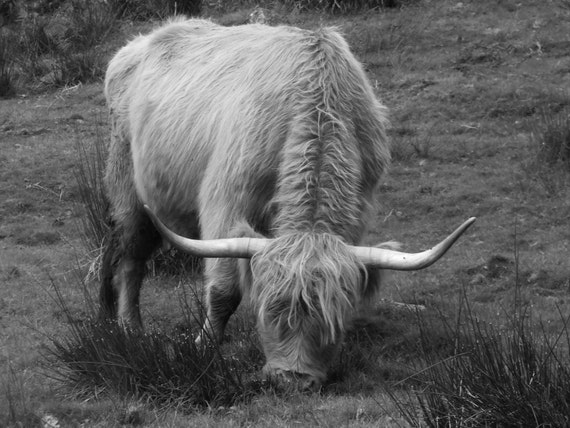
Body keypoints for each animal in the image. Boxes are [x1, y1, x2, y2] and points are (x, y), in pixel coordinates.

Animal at [101, 18, 470, 390]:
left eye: (331, 318)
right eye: (270, 311)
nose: (292, 379)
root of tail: (145, 39)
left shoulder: (361, 205)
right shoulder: (224, 203)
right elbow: (224, 291)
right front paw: (204, 345)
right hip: (128, 192)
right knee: (131, 259)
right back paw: (131, 329)